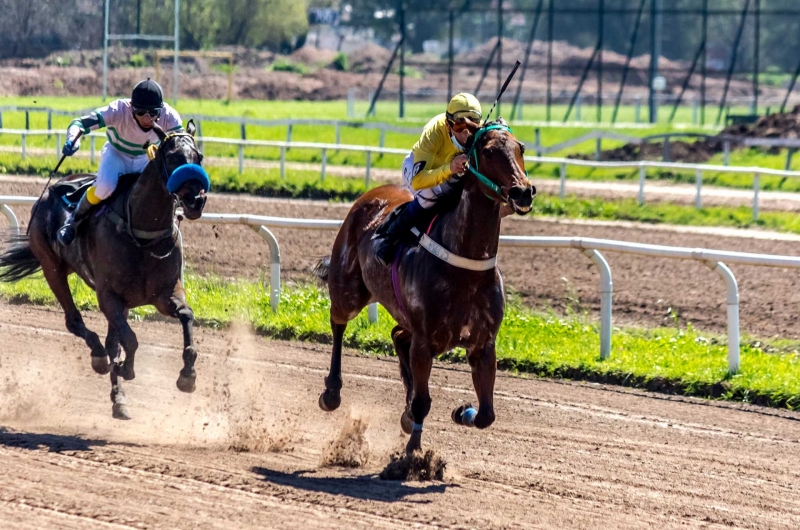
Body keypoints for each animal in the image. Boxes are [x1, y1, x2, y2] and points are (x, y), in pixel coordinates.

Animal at [0, 119, 209, 416]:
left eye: (198, 157)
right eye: (171, 157)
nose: (195, 201)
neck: (143, 235)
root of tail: (54, 187)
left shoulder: (164, 294)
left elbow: (186, 318)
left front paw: (187, 376)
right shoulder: (108, 296)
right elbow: (129, 341)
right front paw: (126, 369)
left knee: (111, 340)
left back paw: (118, 398)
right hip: (52, 267)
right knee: (75, 322)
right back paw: (99, 359)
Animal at [316, 118, 536, 450]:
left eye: (520, 148)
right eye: (487, 152)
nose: (523, 192)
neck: (466, 269)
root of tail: (370, 196)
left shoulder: (484, 344)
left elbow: (486, 414)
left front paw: (462, 411)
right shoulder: (424, 342)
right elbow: (423, 401)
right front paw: (413, 453)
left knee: (397, 335)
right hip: (349, 293)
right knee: (337, 321)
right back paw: (331, 392)